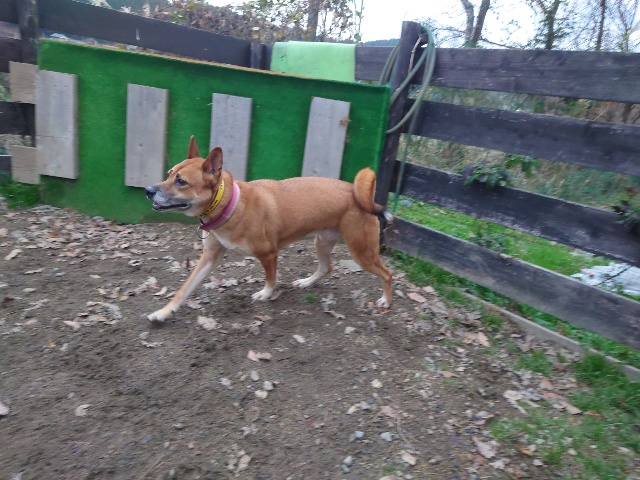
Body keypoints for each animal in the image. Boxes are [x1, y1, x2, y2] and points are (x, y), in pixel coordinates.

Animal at [144, 136, 393, 322]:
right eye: (169, 173)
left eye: (181, 182)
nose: (148, 190)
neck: (229, 205)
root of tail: (359, 194)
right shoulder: (209, 257)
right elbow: (184, 288)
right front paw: (164, 312)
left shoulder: (268, 254)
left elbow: (271, 279)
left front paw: (265, 294)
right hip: (322, 242)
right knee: (325, 268)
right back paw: (307, 282)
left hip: (361, 251)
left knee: (387, 274)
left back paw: (386, 300)